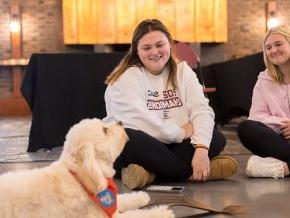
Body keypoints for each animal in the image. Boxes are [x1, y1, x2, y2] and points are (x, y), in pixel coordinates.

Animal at [0, 119, 173, 218]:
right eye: (104, 130)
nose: (120, 123)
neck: (79, 177)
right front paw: (162, 212)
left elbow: (122, 199)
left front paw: (139, 196)